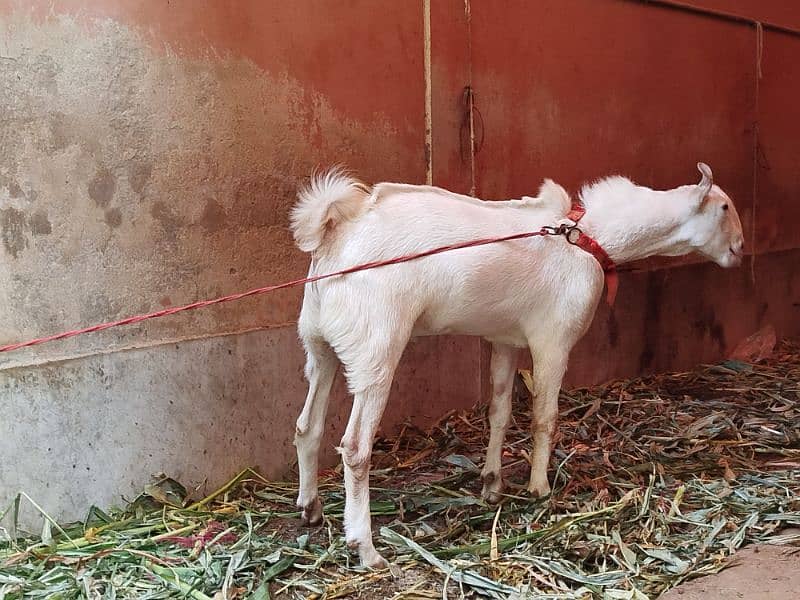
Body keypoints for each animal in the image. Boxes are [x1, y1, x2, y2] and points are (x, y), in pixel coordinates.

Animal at [290, 163, 748, 568]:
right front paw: (539, 488)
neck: (584, 237)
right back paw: (366, 548)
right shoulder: (553, 340)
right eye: (724, 207)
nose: (741, 249)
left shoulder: (504, 339)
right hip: (376, 347)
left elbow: (500, 410)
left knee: (307, 425)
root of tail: (338, 232)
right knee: (355, 447)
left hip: (318, 343)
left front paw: (492, 484)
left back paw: (310, 508)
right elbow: (545, 416)